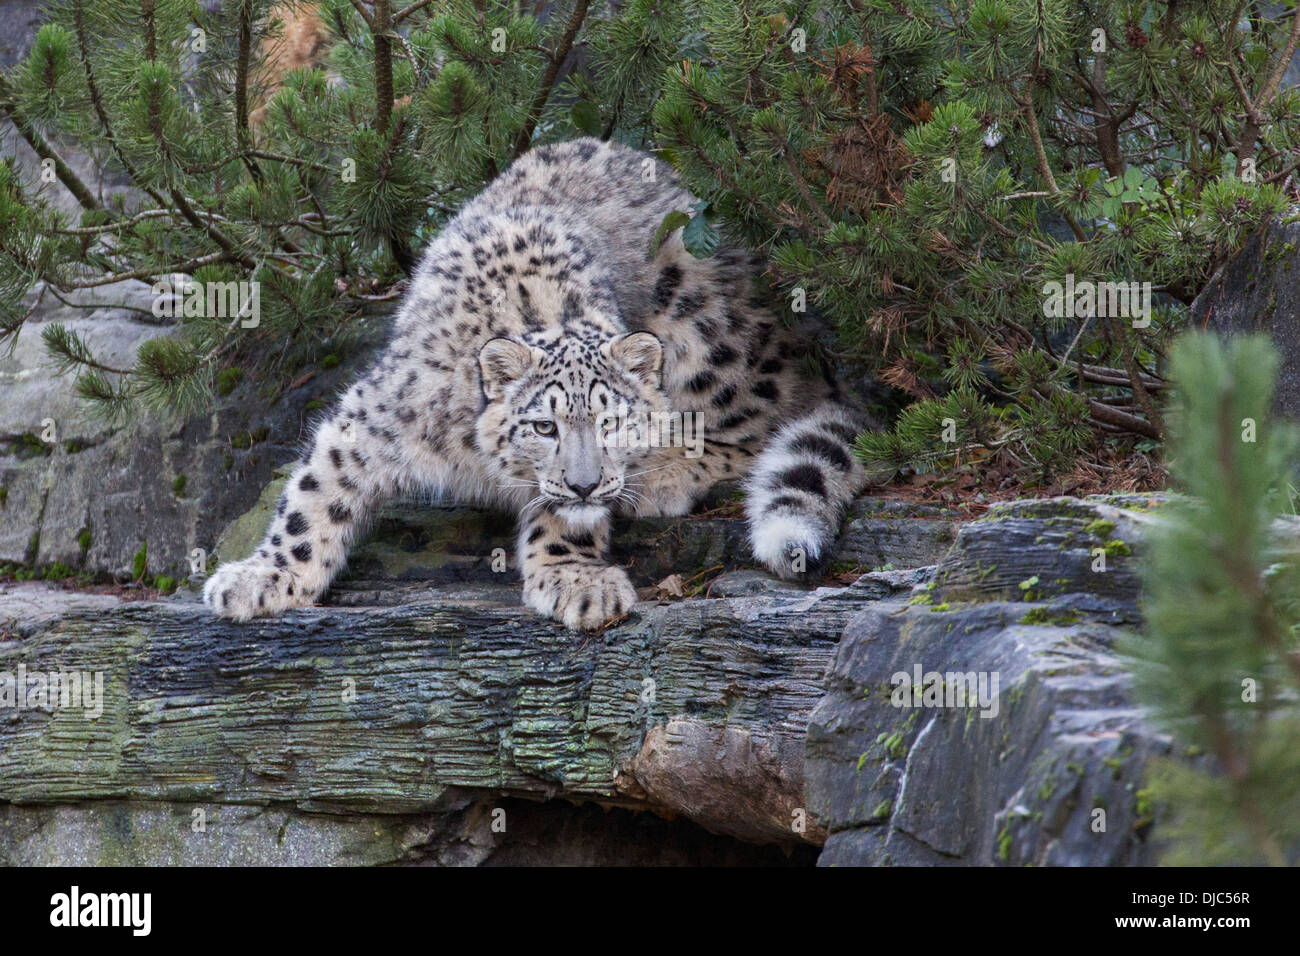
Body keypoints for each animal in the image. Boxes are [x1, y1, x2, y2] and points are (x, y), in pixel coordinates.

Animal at [203, 137, 869, 630]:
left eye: (612, 421)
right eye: (543, 426)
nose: (585, 482)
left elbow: (563, 521)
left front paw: (578, 580)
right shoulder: (370, 418)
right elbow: (312, 496)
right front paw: (262, 577)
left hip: (706, 342)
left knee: (763, 421)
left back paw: (665, 474)